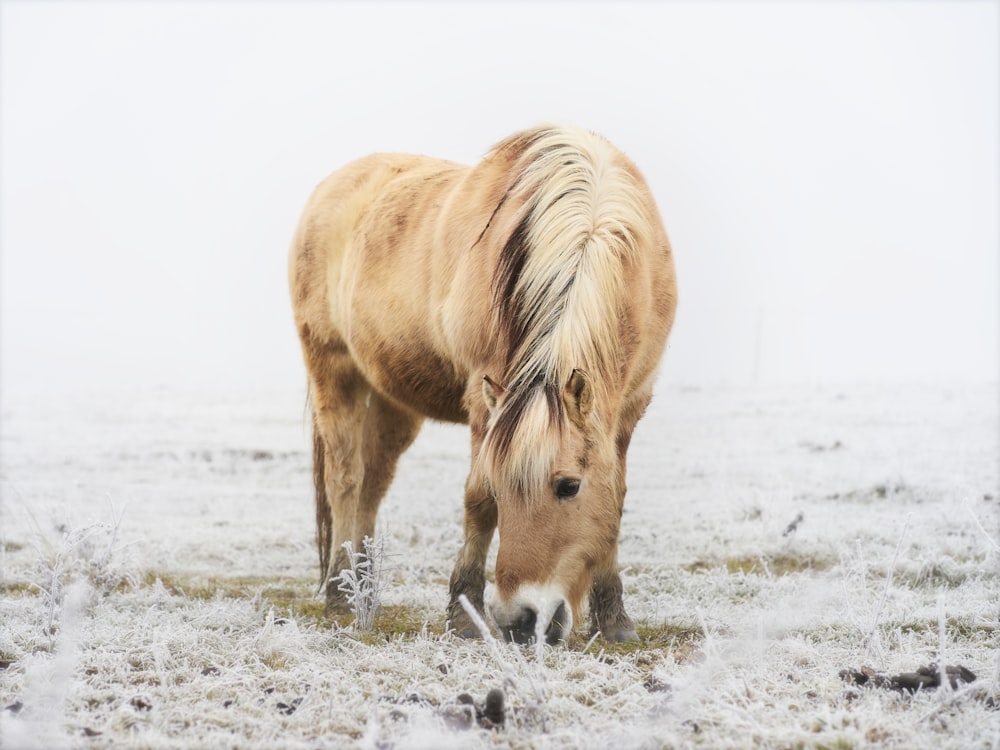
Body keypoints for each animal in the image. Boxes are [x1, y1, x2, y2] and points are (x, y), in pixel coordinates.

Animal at [290, 125, 680, 648]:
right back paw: (340, 594)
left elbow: (614, 499)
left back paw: (363, 589)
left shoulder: (630, 403)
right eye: (501, 486)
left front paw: (615, 620)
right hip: (334, 371)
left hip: (394, 401)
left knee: (372, 482)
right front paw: (463, 615)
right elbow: (477, 503)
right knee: (345, 480)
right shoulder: (484, 393)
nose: (521, 621)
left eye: (569, 486)